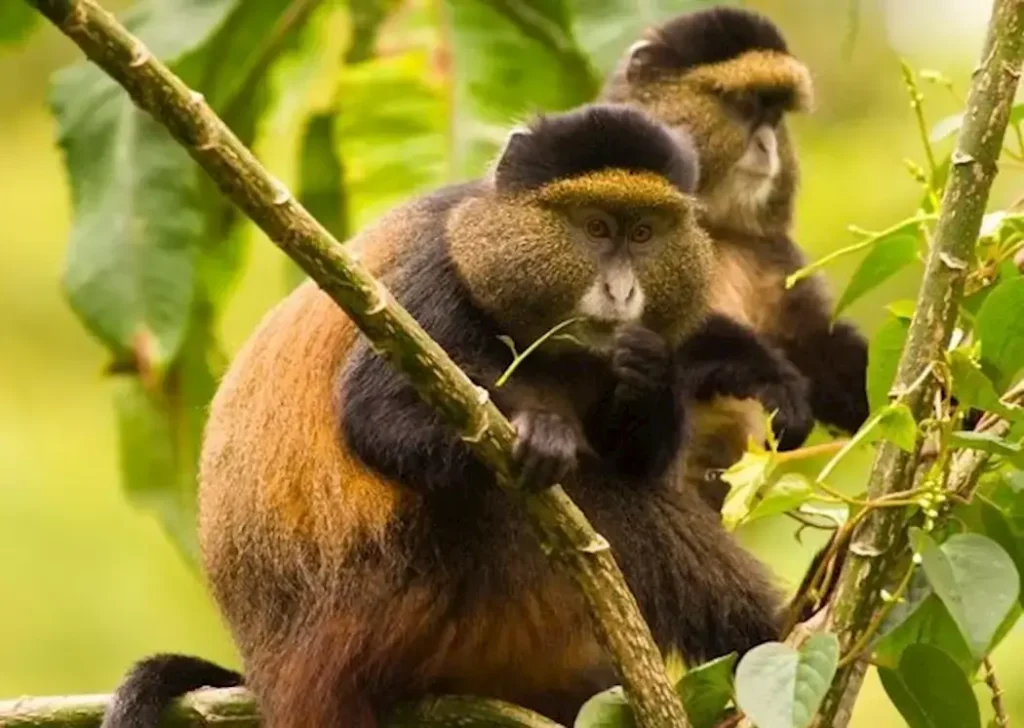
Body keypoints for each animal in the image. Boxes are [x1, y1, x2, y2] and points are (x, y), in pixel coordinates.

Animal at [102, 103, 793, 728]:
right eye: (596, 227)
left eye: (644, 232)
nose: (621, 292)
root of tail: (271, 669)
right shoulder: (434, 279)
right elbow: (376, 415)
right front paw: (545, 432)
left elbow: (638, 448)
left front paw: (649, 373)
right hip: (405, 602)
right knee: (594, 499)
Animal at [601, 6, 868, 513]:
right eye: (744, 105)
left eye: (775, 113)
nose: (767, 146)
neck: (712, 225)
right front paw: (769, 376)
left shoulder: (770, 253)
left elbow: (813, 340)